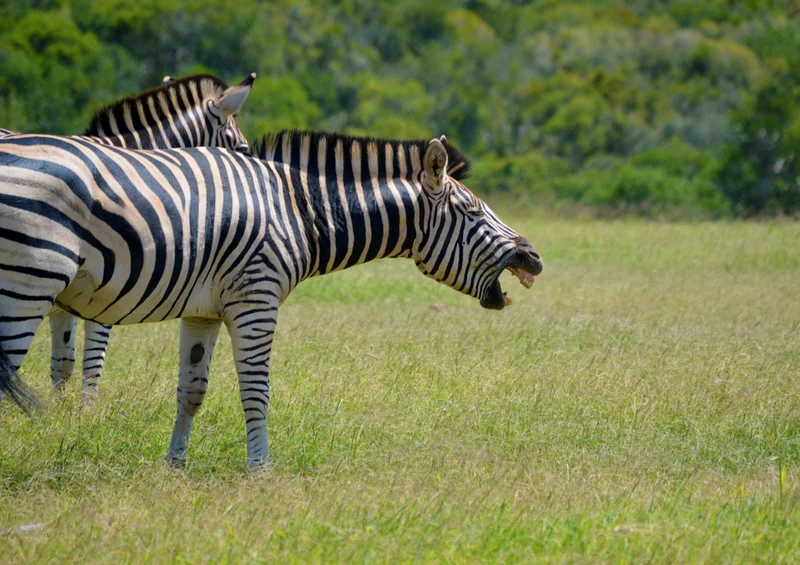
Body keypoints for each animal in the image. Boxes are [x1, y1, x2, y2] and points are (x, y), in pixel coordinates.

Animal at [0, 131, 543, 468]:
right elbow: (255, 392)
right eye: (472, 212)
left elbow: (191, 391)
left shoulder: (202, 310)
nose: (534, 257)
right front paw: (260, 469)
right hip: (28, 282)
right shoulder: (256, 300)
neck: (298, 210)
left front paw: (174, 465)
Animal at [1, 72, 256, 399]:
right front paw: (87, 408)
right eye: (243, 149)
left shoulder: (63, 297)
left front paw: (62, 410)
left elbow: (64, 361)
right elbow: (92, 361)